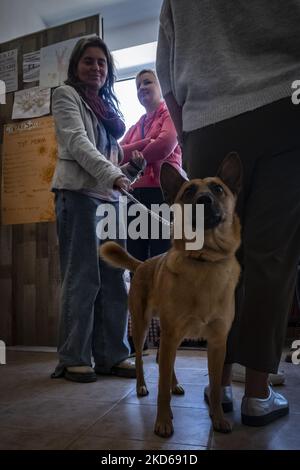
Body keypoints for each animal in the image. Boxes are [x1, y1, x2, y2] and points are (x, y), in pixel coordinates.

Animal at [100, 153, 241, 436]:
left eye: (218, 188)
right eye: (188, 192)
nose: (204, 201)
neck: (204, 260)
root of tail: (142, 264)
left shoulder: (217, 343)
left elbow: (216, 387)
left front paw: (218, 418)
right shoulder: (171, 333)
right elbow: (161, 388)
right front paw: (163, 421)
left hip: (169, 334)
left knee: (165, 361)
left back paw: (175, 383)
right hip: (143, 326)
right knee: (144, 361)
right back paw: (142, 386)